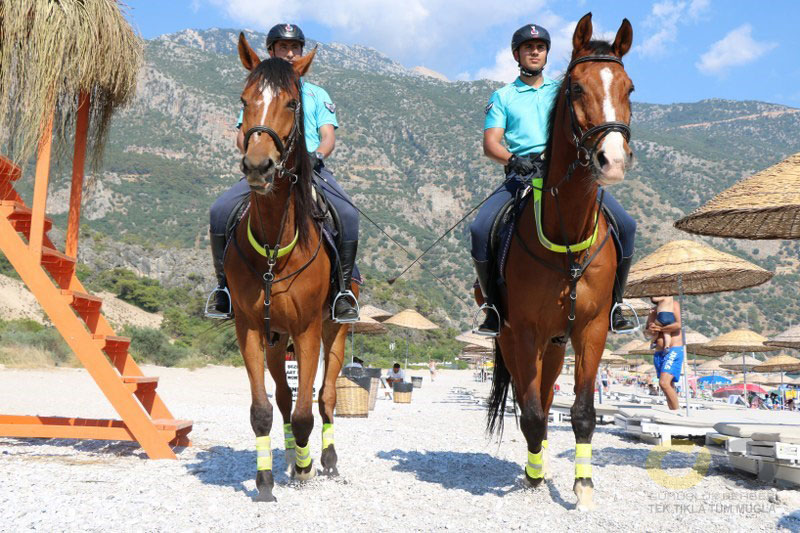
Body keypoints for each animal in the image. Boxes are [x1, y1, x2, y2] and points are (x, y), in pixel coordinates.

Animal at [228, 35, 356, 500]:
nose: (258, 166)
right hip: (273, 339)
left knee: (326, 397)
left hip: (334, 330)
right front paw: (266, 480)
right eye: (245, 100)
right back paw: (286, 457)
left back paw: (327, 460)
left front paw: (305, 468)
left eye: (291, 103)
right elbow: (264, 409)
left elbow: (306, 411)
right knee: (284, 398)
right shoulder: (250, 328)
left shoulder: (308, 330)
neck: (274, 249)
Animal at [478, 14, 636, 510]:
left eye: (629, 88)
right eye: (577, 88)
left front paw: (582, 486)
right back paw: (535, 463)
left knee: (549, 398)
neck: (567, 241)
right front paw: (533, 477)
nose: (613, 160)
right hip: (515, 337)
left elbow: (581, 412)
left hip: (555, 342)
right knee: (532, 401)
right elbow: (528, 412)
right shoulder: (525, 331)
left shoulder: (590, 329)